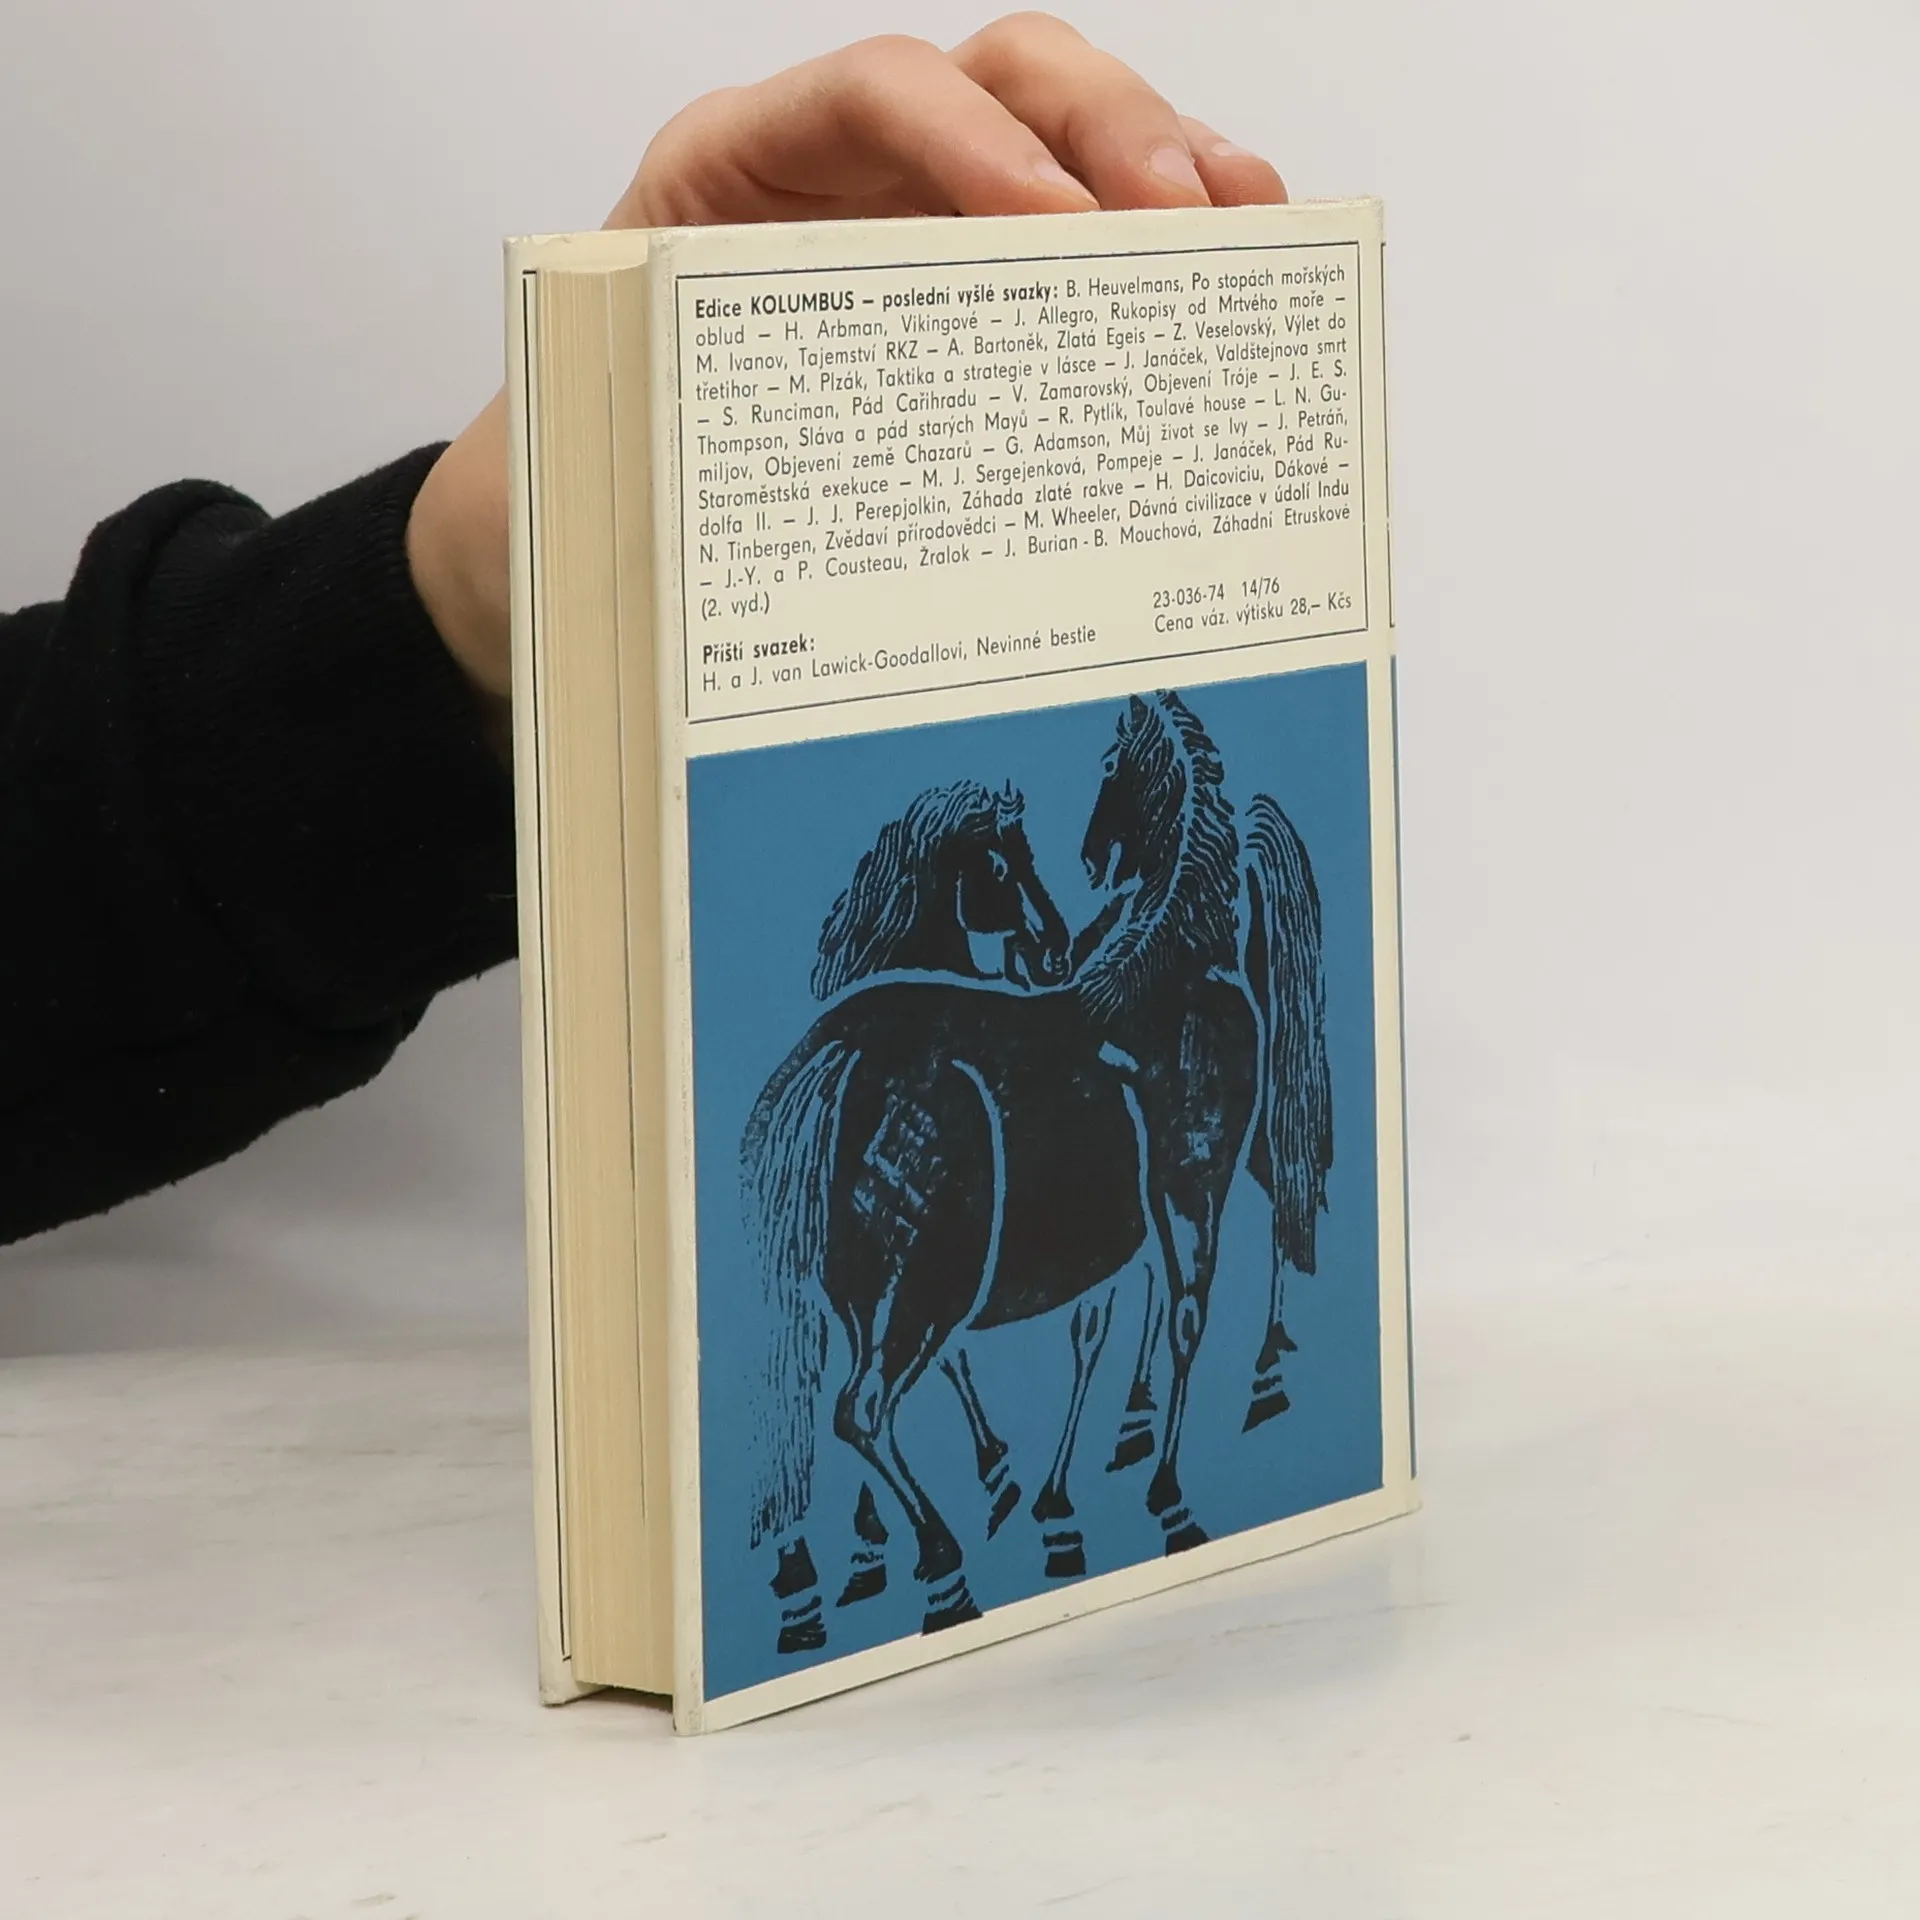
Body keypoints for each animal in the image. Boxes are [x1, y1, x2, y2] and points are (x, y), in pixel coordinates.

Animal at [740, 691, 1323, 1650]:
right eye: (999, 865)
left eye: (1111, 765)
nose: (1055, 938)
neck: (1163, 965)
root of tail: (842, 1053)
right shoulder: (1186, 1193)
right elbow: (1179, 1320)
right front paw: (1155, 1499)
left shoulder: (1139, 1219)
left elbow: (1120, 1328)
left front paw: (1068, 1499)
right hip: (922, 1284)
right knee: (862, 1409)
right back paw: (938, 1574)